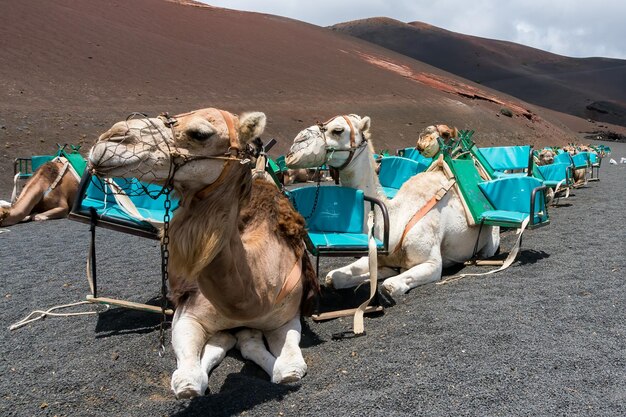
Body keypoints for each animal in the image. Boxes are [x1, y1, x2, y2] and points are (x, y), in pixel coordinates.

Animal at [86, 106, 316, 396]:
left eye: (200, 133)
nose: (110, 139)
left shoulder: (287, 319)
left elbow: (289, 370)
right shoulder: (187, 316)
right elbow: (190, 380)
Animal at [284, 115, 498, 298]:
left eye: (338, 130)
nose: (297, 141)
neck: (396, 221)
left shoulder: (432, 263)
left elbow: (390, 285)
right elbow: (334, 277)